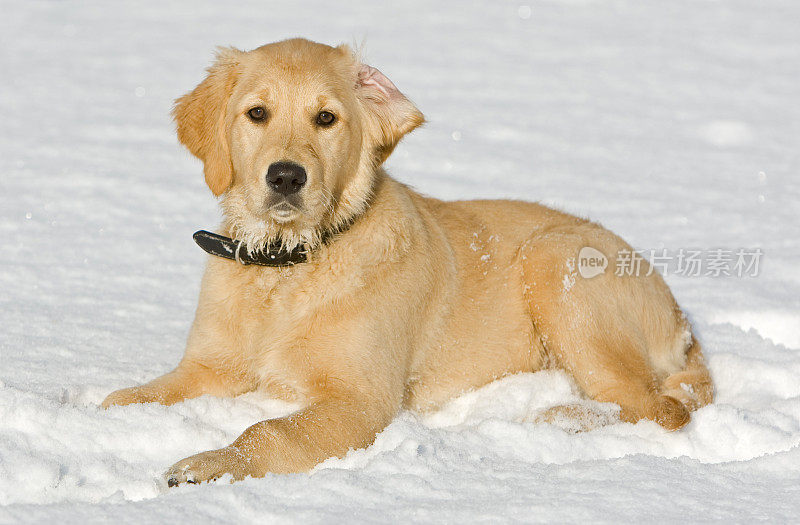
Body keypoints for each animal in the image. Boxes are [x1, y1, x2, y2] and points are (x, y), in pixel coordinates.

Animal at [101, 39, 712, 486]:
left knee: (656, 407)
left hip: (557, 262)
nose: (286, 177)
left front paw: (207, 465)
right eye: (256, 113)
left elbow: (269, 432)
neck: (287, 269)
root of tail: (681, 321)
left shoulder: (361, 401)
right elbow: (129, 397)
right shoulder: (207, 369)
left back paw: (549, 419)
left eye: (327, 119)